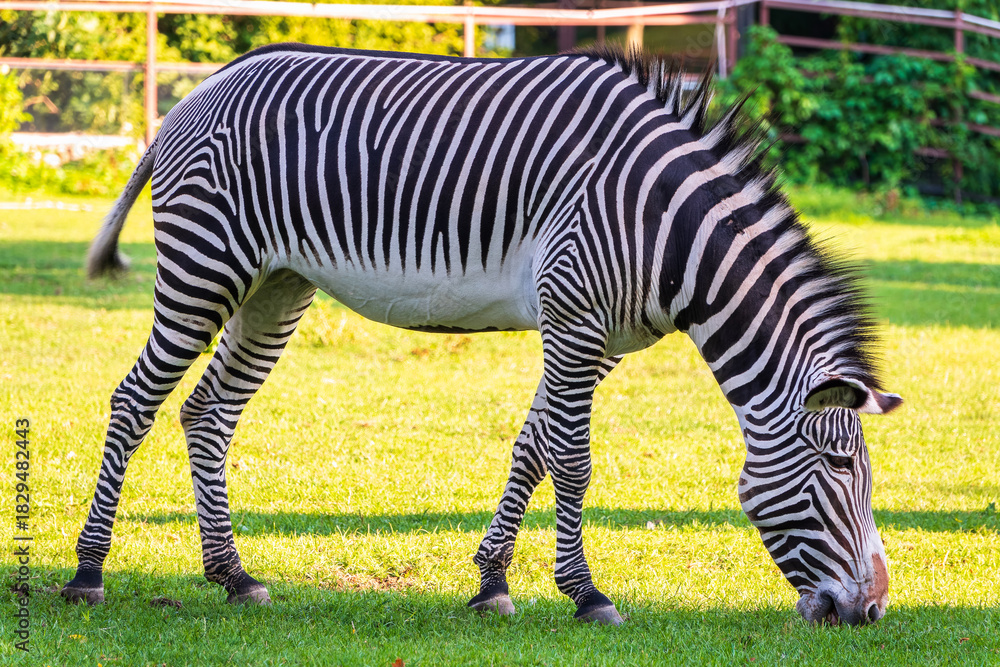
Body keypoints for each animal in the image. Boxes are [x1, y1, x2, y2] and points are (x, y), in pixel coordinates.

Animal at [63, 43, 903, 626]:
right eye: (838, 465)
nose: (872, 610)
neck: (667, 225)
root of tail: (201, 88)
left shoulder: (600, 336)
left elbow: (535, 446)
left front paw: (493, 581)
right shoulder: (573, 314)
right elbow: (572, 458)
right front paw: (587, 593)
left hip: (276, 285)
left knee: (208, 411)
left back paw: (232, 573)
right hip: (205, 264)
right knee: (134, 399)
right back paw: (89, 571)